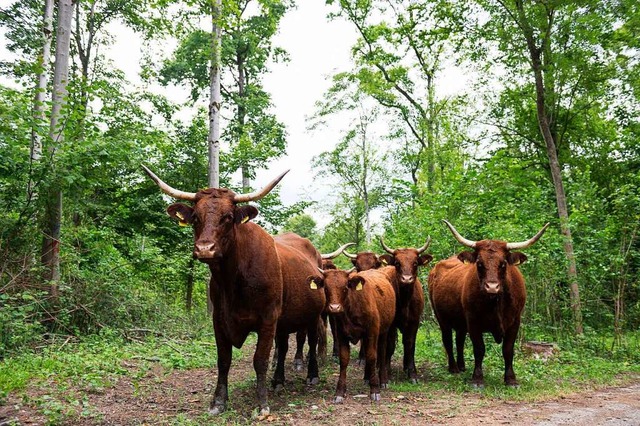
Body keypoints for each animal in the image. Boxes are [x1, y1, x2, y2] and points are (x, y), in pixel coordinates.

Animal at [143, 166, 328, 416]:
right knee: (283, 348)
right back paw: (278, 380)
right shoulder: (219, 319)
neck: (232, 281)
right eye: (195, 217)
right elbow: (223, 360)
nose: (204, 249)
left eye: (228, 217)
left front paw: (262, 404)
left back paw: (312, 375)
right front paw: (218, 402)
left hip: (313, 315)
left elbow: (260, 360)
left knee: (312, 340)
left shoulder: (267, 319)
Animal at [308, 268, 396, 402]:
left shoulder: (372, 333)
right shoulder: (341, 335)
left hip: (384, 331)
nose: (334, 308)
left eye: (345, 288)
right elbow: (344, 359)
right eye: (326, 288)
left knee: (381, 352)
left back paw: (383, 380)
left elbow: (372, 357)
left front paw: (375, 390)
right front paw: (339, 392)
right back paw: (367, 377)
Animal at [378, 236, 432, 382]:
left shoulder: (414, 322)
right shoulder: (391, 324)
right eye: (397, 263)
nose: (406, 279)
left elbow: (410, 344)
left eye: (415, 263)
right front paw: (387, 372)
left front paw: (412, 373)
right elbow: (390, 344)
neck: (405, 301)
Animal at [428, 221, 548, 388]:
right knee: (448, 340)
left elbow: (508, 350)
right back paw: (454, 368)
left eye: (503, 264)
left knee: (459, 340)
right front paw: (477, 379)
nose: (492, 287)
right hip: (442, 318)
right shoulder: (473, 321)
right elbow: (479, 349)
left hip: (460, 322)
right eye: (479, 263)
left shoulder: (515, 321)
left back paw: (462, 366)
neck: (495, 302)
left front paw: (511, 379)